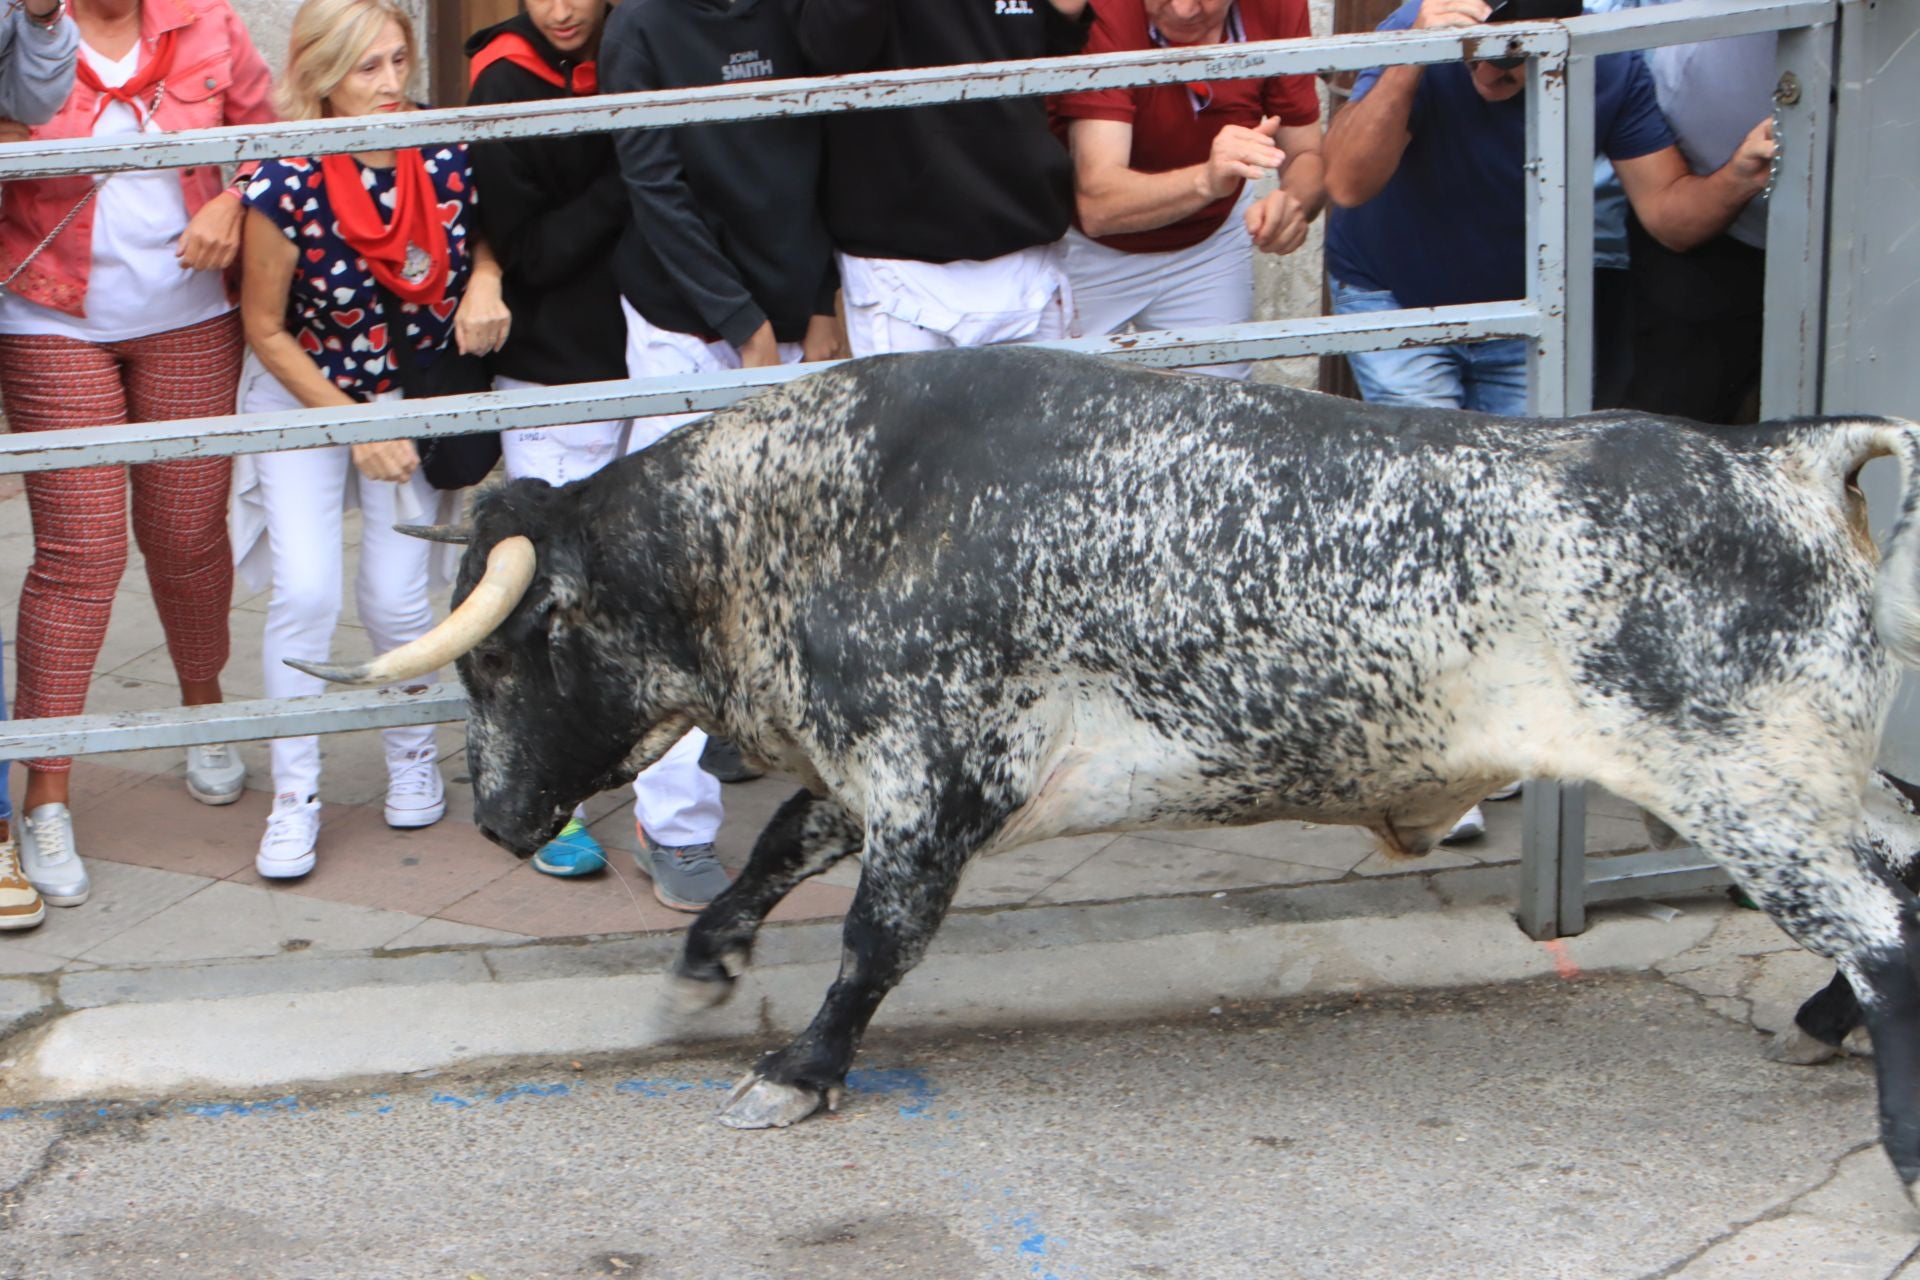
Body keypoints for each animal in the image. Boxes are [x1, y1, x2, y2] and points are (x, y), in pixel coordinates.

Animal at [299, 345, 1920, 1205]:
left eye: (508, 658)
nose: (497, 819)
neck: (820, 513)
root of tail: (1782, 456)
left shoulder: (940, 784)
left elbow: (872, 942)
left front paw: (798, 1071)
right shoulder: (881, 772)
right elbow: (776, 853)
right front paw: (706, 961)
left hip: (1751, 793)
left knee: (1891, 932)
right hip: (1815, 787)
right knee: (1901, 880)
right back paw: (1814, 1021)